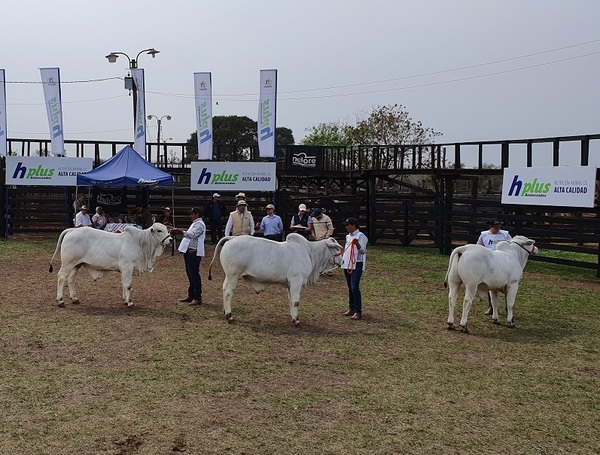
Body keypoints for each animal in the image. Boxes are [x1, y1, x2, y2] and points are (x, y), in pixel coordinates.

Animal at [209, 233, 344, 326]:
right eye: (337, 248)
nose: (342, 261)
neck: (310, 252)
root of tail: (231, 238)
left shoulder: (290, 284)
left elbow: (291, 301)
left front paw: (293, 317)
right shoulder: (297, 280)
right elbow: (296, 301)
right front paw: (297, 321)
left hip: (228, 275)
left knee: (224, 289)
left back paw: (225, 311)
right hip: (233, 275)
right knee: (228, 292)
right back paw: (229, 316)